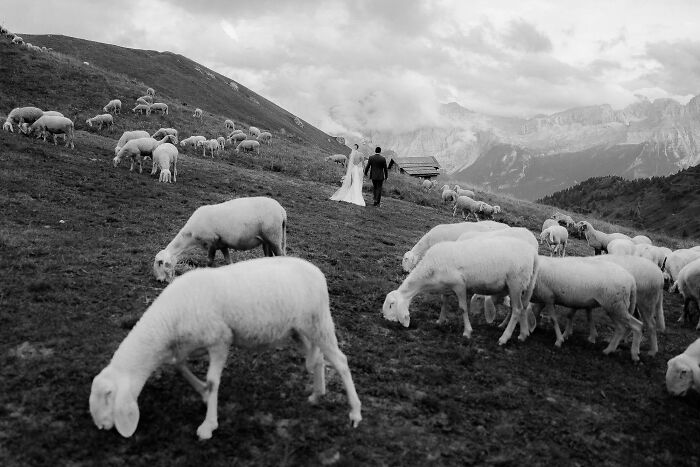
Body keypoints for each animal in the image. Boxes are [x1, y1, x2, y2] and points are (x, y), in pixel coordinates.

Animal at [89, 258, 360, 440]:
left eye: (108, 397)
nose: (101, 428)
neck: (168, 321)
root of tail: (317, 271)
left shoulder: (220, 339)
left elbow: (212, 381)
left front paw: (208, 425)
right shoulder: (191, 344)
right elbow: (180, 366)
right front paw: (202, 394)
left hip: (319, 322)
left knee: (341, 361)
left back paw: (355, 413)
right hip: (300, 330)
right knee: (317, 359)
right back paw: (317, 394)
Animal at [153, 197, 288, 284]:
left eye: (160, 263)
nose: (159, 281)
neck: (190, 236)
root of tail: (282, 210)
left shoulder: (212, 242)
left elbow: (209, 261)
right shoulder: (222, 244)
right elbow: (228, 261)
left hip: (274, 237)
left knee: (281, 256)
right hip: (267, 240)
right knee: (269, 257)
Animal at [382, 236, 536, 346]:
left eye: (391, 305)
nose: (387, 321)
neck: (429, 271)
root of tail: (533, 254)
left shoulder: (460, 285)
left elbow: (462, 308)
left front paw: (467, 332)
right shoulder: (446, 286)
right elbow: (444, 302)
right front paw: (440, 321)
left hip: (515, 283)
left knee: (517, 309)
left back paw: (504, 338)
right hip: (521, 286)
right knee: (523, 308)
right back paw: (523, 334)